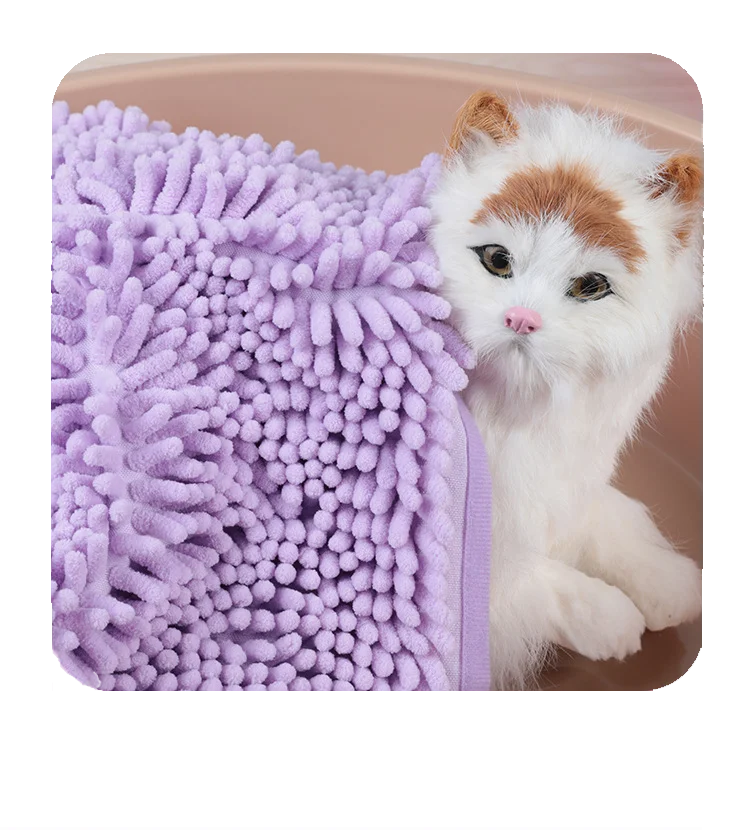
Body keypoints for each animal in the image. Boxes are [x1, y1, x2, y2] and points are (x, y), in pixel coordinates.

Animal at [428, 91, 704, 691]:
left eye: (590, 286)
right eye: (497, 260)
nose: (522, 319)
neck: (514, 421)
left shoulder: (569, 482)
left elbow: (605, 524)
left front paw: (669, 584)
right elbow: (543, 582)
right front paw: (614, 622)